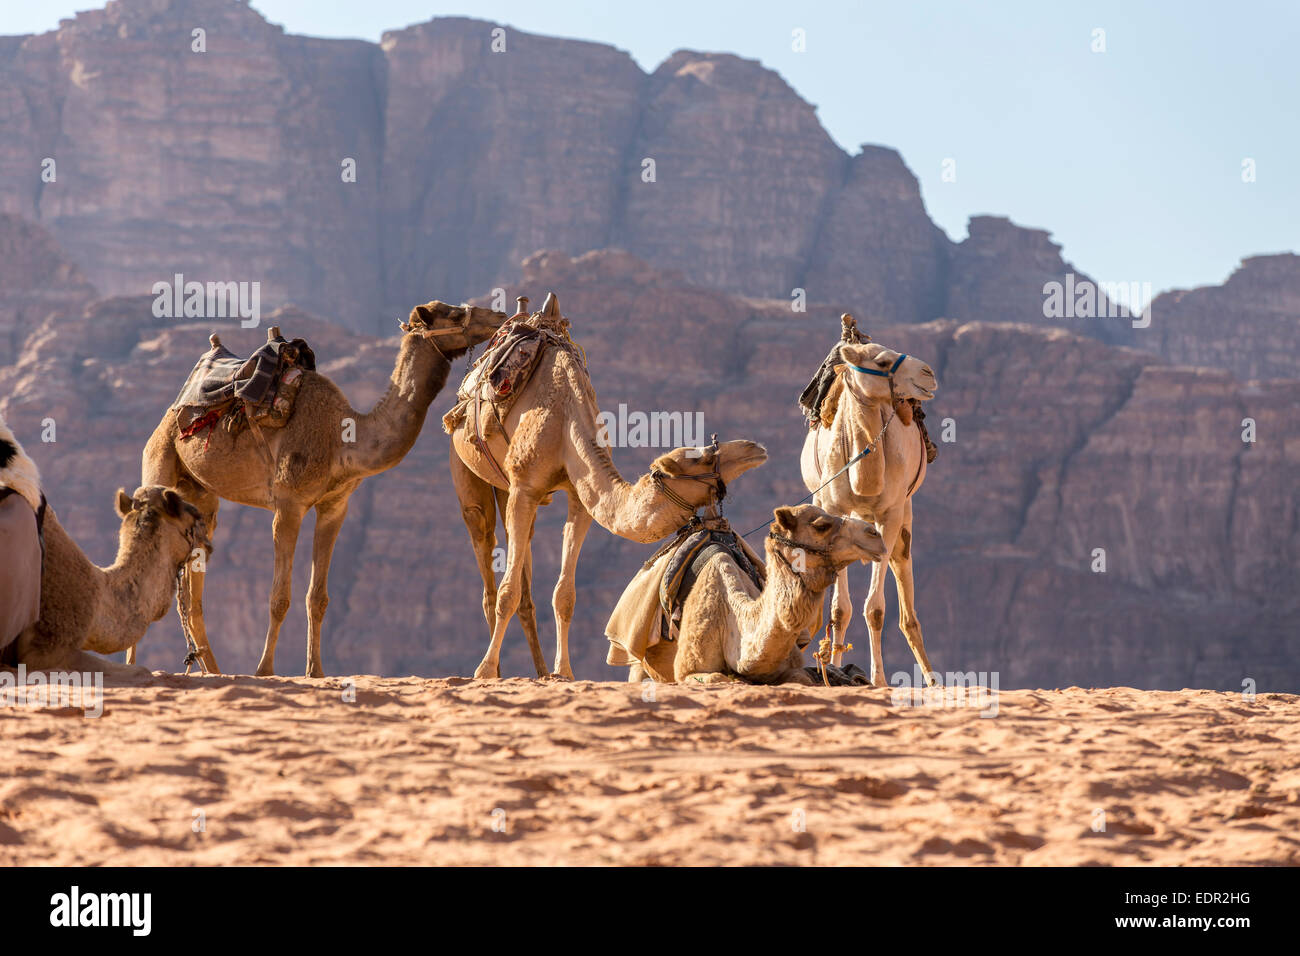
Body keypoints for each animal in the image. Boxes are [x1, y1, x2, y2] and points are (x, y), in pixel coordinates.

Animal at [134, 301, 505, 677]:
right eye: (454, 313)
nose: (500, 318)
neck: (342, 438)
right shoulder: (288, 505)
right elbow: (279, 597)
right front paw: (264, 670)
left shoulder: (334, 505)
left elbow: (318, 597)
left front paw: (315, 670)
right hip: (159, 456)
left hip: (202, 497)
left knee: (194, 593)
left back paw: (213, 670)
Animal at [449, 293, 769, 680]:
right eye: (700, 458)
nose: (756, 448)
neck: (565, 419)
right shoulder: (526, 486)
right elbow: (508, 590)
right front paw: (484, 670)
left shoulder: (579, 498)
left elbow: (565, 595)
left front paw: (564, 672)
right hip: (467, 465)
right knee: (482, 536)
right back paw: (493, 667)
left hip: (507, 487)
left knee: (520, 545)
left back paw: (540, 669)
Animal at [800, 340, 940, 686]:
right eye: (882, 361)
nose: (929, 373)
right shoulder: (832, 510)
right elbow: (839, 610)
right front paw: (834, 669)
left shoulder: (890, 514)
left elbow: (875, 609)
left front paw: (878, 679)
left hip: (905, 514)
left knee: (904, 581)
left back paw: (932, 679)